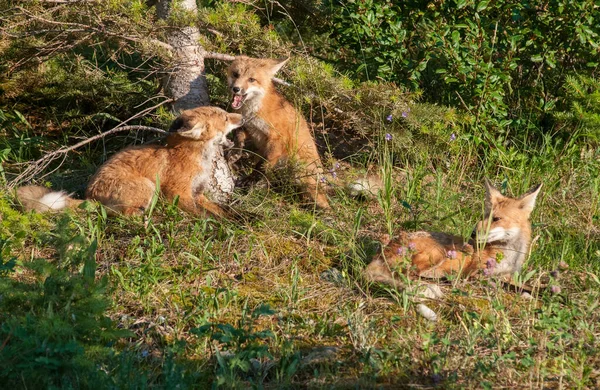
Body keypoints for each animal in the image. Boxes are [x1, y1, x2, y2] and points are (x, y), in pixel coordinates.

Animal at [17, 106, 241, 218]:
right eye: (226, 118)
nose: (242, 117)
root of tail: (91, 197)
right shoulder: (178, 193)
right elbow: (204, 216)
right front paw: (217, 226)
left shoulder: (198, 193)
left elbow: (221, 211)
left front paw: (234, 220)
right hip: (148, 186)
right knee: (122, 214)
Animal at [226, 54, 330, 210]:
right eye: (236, 74)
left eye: (251, 79)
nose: (236, 89)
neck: (255, 111)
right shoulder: (251, 129)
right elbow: (239, 137)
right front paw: (235, 153)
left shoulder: (277, 140)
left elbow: (263, 166)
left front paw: (252, 181)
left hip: (302, 172)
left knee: (322, 200)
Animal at [366, 180, 544, 286]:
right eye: (483, 216)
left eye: (496, 218)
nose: (473, 234)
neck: (509, 255)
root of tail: (384, 249)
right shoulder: (479, 272)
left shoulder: (508, 275)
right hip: (436, 254)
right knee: (411, 273)